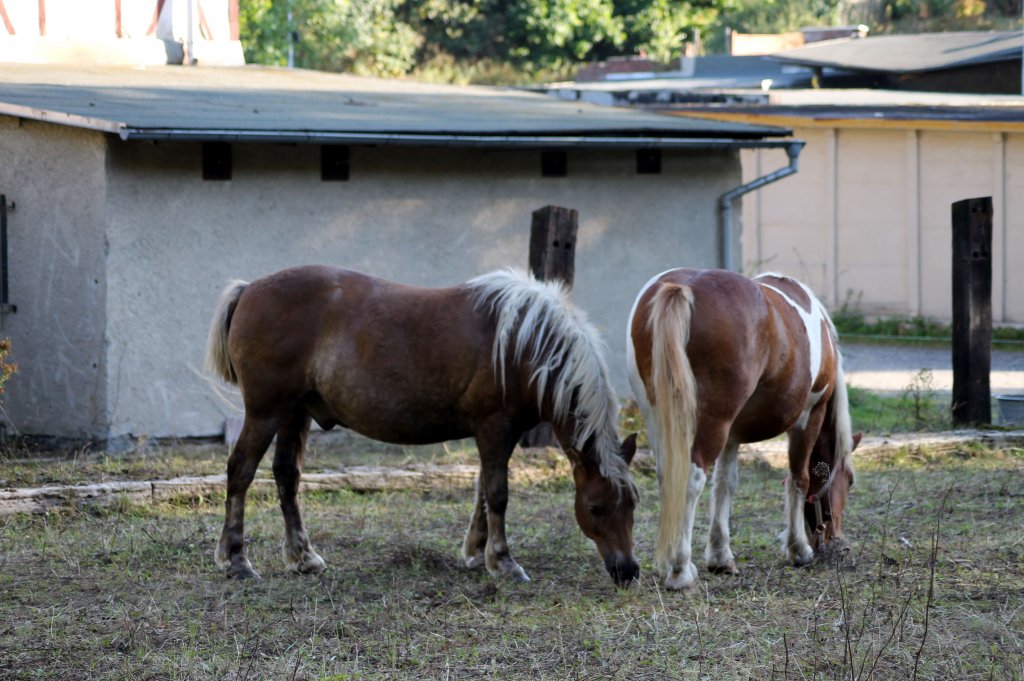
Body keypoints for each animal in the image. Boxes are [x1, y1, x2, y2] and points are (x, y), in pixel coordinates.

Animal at [205, 264, 638, 585]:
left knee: (286, 475)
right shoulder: (494, 427)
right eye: (596, 508)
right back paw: (236, 560)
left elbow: (483, 490)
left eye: (633, 504)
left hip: (295, 412)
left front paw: (477, 552)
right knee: (241, 471)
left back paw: (303, 556)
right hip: (267, 412)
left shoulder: (502, 433)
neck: (521, 342)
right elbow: (497, 493)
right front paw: (503, 561)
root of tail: (249, 289)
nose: (628, 571)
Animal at [626, 270, 860, 589]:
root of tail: (681, 287)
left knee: (669, 478)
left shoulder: (731, 436)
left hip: (660, 419)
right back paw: (680, 570)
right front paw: (798, 549)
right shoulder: (811, 415)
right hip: (712, 423)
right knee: (691, 480)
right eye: (849, 481)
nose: (836, 541)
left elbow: (725, 485)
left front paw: (720, 556)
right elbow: (799, 478)